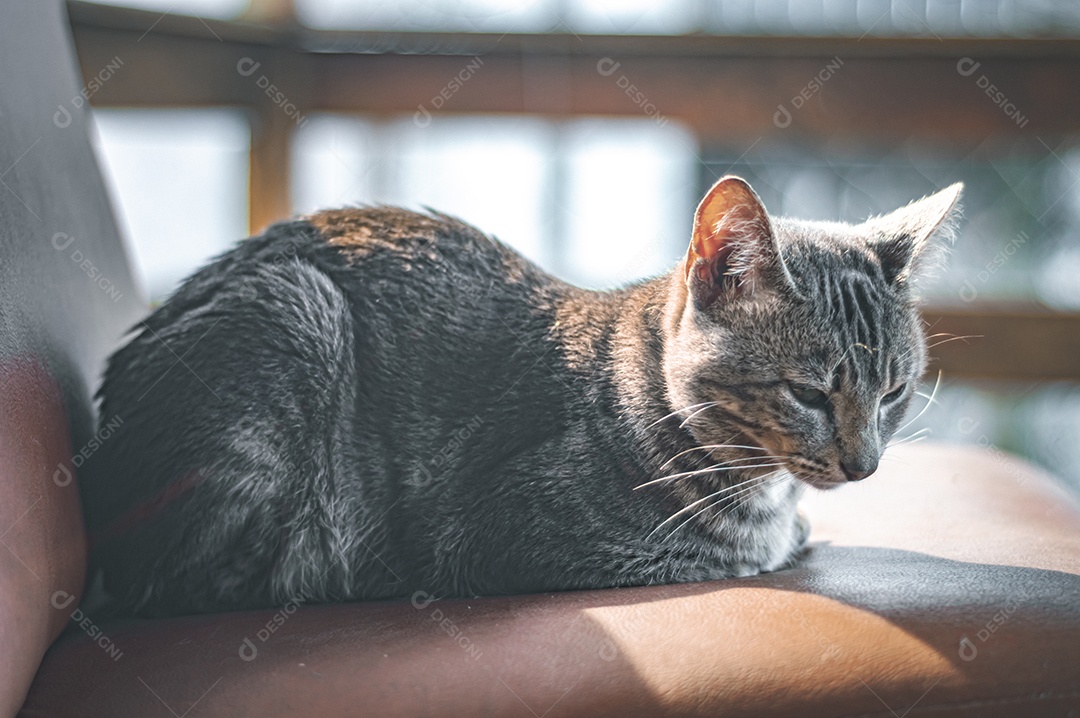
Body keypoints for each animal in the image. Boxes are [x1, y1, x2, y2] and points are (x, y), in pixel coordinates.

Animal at [82, 174, 963, 617]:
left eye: (894, 392)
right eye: (808, 394)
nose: (865, 466)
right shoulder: (495, 535)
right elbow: (732, 552)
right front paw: (777, 540)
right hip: (293, 316)